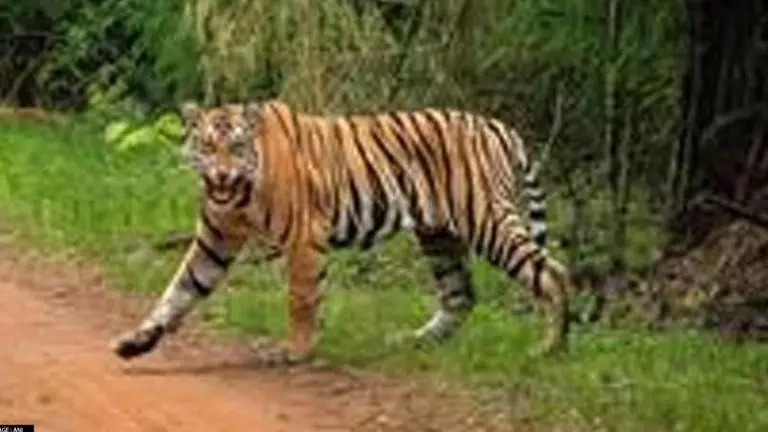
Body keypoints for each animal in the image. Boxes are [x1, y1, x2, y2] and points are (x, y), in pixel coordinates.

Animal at [110, 99, 573, 365]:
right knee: (460, 295)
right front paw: (137, 341)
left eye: (237, 148)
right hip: (438, 234)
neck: (239, 195)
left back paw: (550, 348)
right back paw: (416, 340)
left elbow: (300, 299)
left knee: (552, 272)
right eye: (207, 147)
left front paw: (295, 352)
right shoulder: (215, 239)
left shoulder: (304, 236)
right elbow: (179, 290)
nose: (221, 174)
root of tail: (499, 126)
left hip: (486, 219)